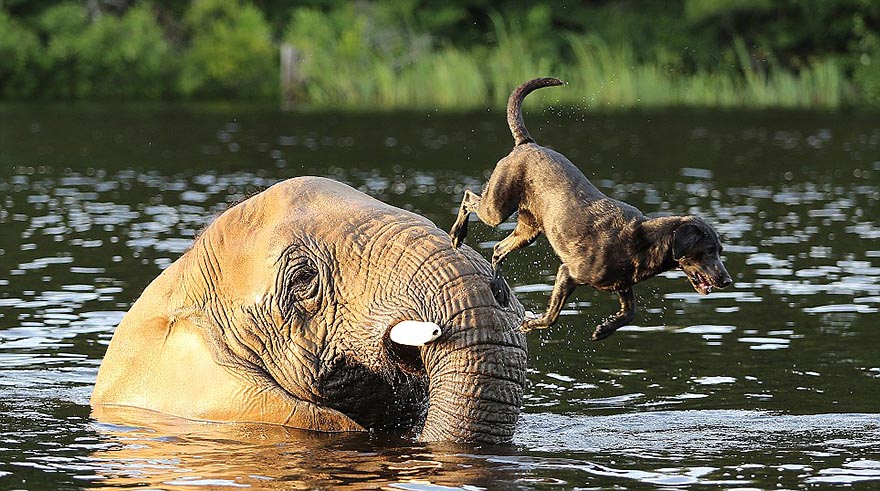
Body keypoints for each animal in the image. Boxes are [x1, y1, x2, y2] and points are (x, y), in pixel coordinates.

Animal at [450, 78, 732, 342]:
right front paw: (530, 324)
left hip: (529, 230)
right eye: (708, 251)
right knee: (468, 197)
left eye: (719, 250)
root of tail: (526, 143)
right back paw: (456, 235)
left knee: (498, 249)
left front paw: (604, 329)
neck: (642, 241)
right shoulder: (568, 272)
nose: (728, 281)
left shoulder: (622, 285)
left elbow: (630, 312)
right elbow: (552, 316)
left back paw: (498, 287)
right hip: (497, 207)